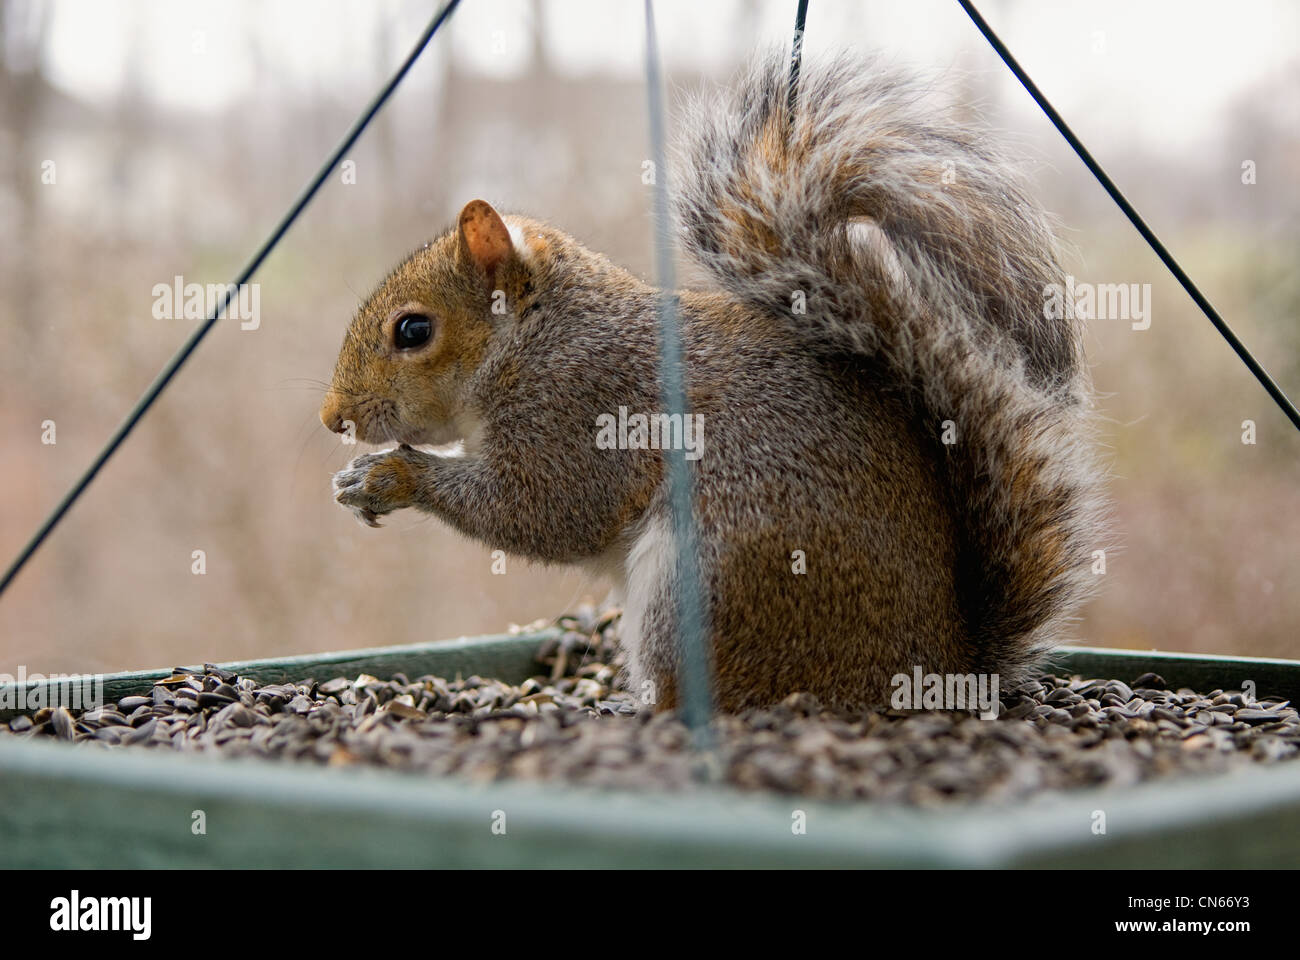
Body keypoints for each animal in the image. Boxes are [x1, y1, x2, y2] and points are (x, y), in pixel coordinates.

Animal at [319, 52, 1102, 712]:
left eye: (413, 331)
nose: (333, 418)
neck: (532, 340)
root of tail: (940, 668)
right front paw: (357, 477)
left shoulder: (582, 408)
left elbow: (544, 510)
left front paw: (393, 477)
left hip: (706, 585)